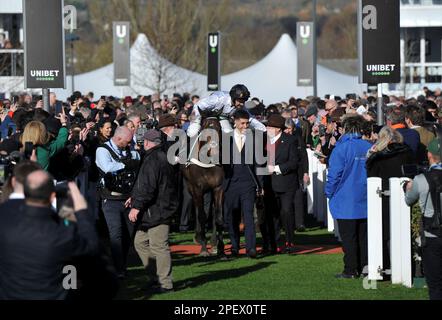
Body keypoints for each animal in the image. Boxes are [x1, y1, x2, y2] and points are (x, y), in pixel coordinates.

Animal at [181, 114, 226, 256]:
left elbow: (218, 217)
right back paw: (199, 238)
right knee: (197, 209)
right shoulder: (197, 188)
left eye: (219, 128)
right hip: (191, 188)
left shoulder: (218, 188)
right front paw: (204, 249)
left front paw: (221, 249)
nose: (214, 150)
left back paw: (213, 242)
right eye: (204, 129)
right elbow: (201, 216)